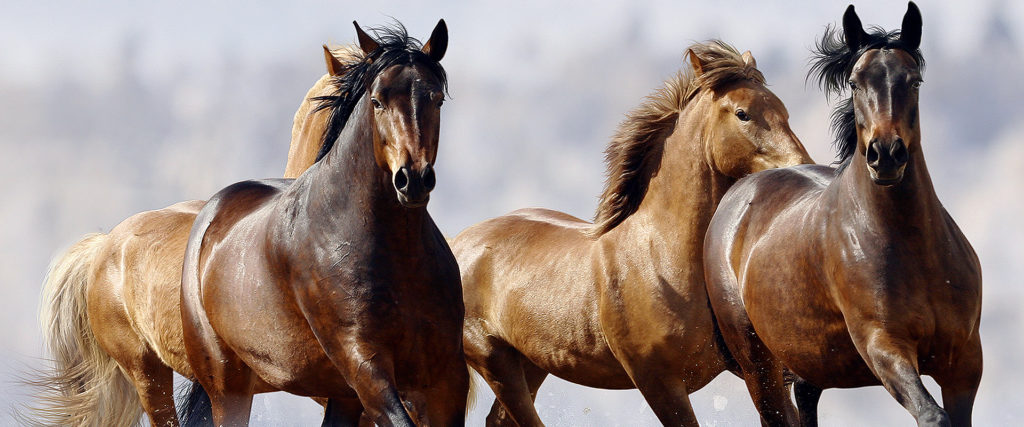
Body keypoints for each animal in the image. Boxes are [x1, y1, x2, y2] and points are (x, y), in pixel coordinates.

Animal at [179, 20, 468, 426]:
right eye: (377, 101)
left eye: (436, 99)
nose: (412, 179)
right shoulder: (365, 365)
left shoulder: (446, 376)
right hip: (227, 384)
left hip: (339, 395)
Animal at [452, 41, 813, 426]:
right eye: (742, 113)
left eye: (782, 109)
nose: (801, 167)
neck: (661, 258)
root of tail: (457, 244)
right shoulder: (657, 381)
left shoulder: (762, 369)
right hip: (496, 362)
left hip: (534, 362)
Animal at [703, 3, 982, 426]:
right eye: (854, 82)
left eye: (914, 81)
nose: (886, 155)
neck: (914, 248)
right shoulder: (883, 346)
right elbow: (932, 415)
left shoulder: (963, 364)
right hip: (759, 367)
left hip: (809, 365)